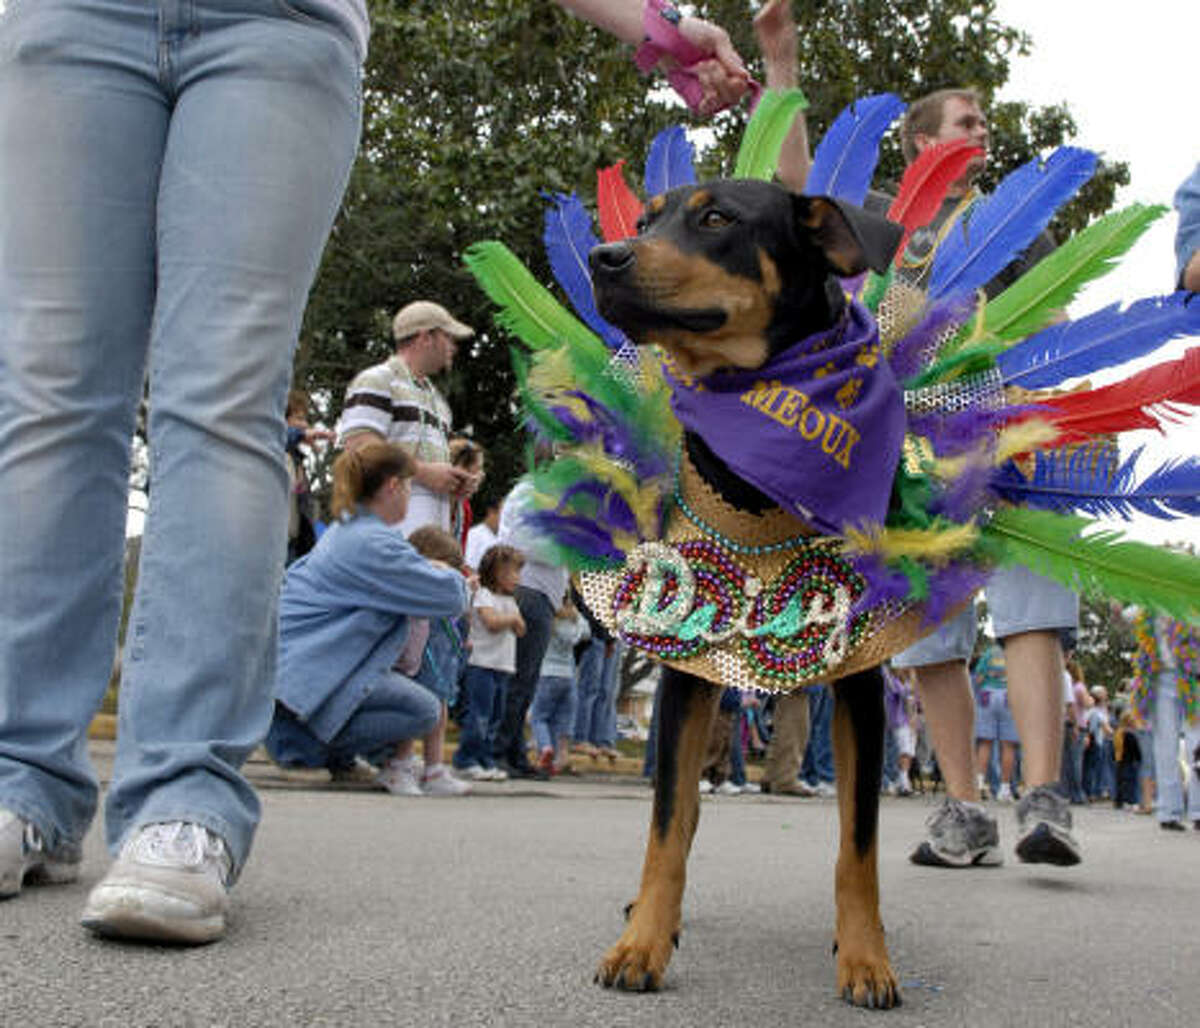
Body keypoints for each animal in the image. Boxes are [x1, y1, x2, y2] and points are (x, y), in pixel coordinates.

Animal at [585, 179, 902, 1007]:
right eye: (646, 217)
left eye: (717, 217)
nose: (602, 255)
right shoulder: (683, 670)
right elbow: (668, 824)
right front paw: (642, 943)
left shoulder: (862, 681)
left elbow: (858, 842)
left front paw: (867, 956)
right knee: (686, 807)